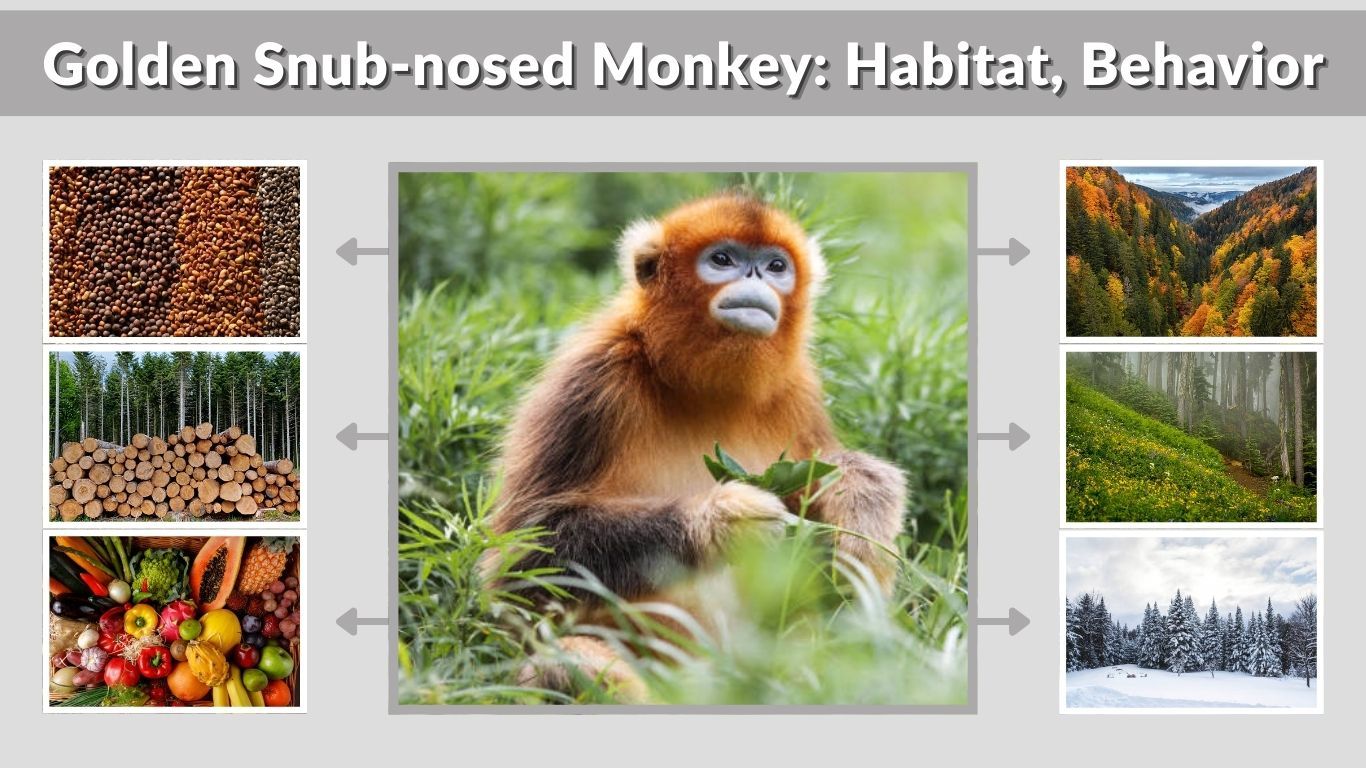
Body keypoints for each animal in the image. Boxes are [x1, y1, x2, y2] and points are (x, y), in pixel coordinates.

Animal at [482, 193, 906, 698]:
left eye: (776, 265)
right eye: (722, 260)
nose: (755, 277)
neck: (703, 390)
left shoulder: (798, 389)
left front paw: (863, 508)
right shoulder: (593, 380)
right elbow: (520, 562)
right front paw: (721, 519)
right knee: (561, 664)